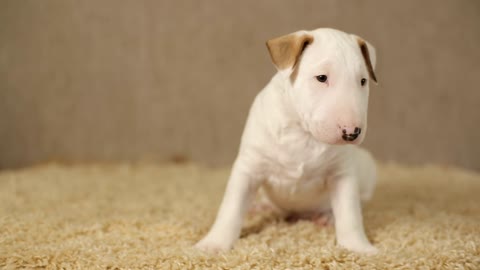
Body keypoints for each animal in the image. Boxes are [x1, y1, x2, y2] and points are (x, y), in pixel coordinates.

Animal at [195, 28, 378, 254]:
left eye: (363, 81)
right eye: (321, 78)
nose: (352, 133)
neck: (302, 133)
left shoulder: (342, 174)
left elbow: (350, 213)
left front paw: (358, 247)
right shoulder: (249, 166)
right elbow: (231, 207)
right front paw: (214, 243)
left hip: (367, 168)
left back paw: (326, 217)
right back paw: (262, 207)